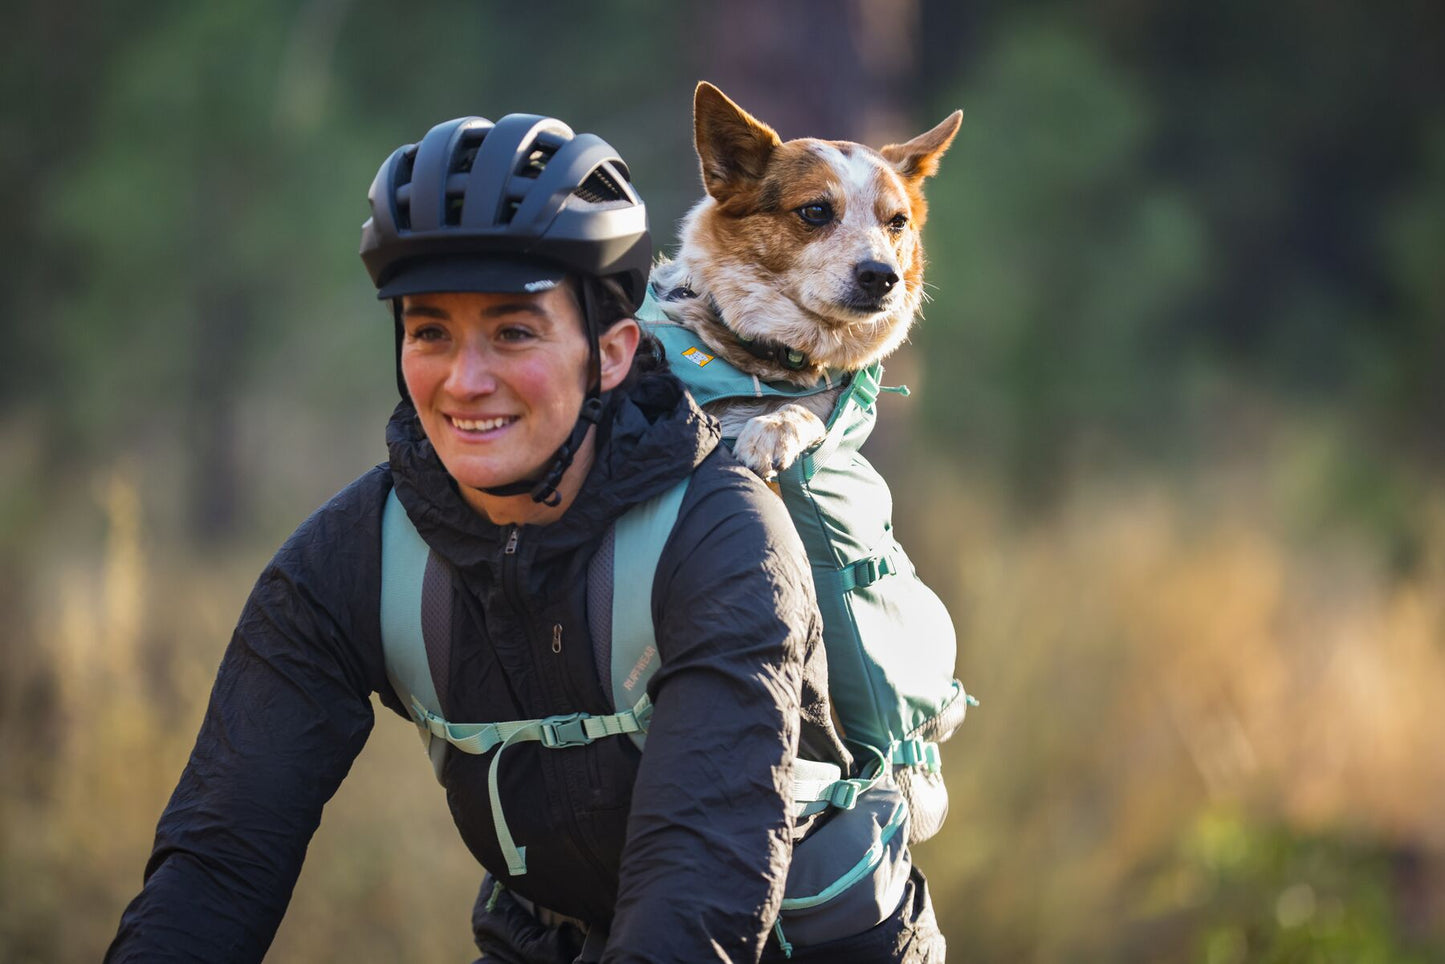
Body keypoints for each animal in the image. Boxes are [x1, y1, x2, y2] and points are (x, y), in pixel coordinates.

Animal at [656, 80, 959, 479]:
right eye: (815, 210)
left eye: (898, 221)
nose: (882, 276)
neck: (777, 353)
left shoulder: (825, 407)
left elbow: (806, 412)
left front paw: (773, 428)